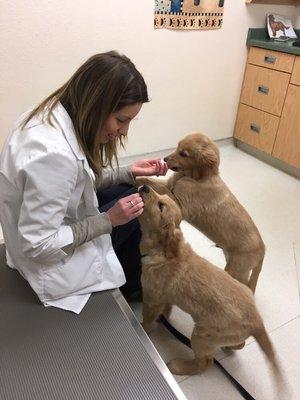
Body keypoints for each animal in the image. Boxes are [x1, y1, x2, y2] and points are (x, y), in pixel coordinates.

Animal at [136, 133, 264, 292]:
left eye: (184, 154)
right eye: (177, 146)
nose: (164, 159)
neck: (197, 178)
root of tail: (263, 251)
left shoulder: (180, 204)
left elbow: (163, 193)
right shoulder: (169, 184)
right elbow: (150, 181)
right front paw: (136, 177)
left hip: (237, 270)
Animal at [138, 186, 284, 390]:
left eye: (161, 205)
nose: (144, 187)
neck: (163, 252)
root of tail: (257, 321)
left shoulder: (152, 299)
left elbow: (147, 319)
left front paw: (143, 328)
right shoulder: (165, 298)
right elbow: (166, 310)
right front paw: (163, 319)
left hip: (202, 335)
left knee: (205, 363)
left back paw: (180, 366)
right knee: (237, 345)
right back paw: (231, 346)